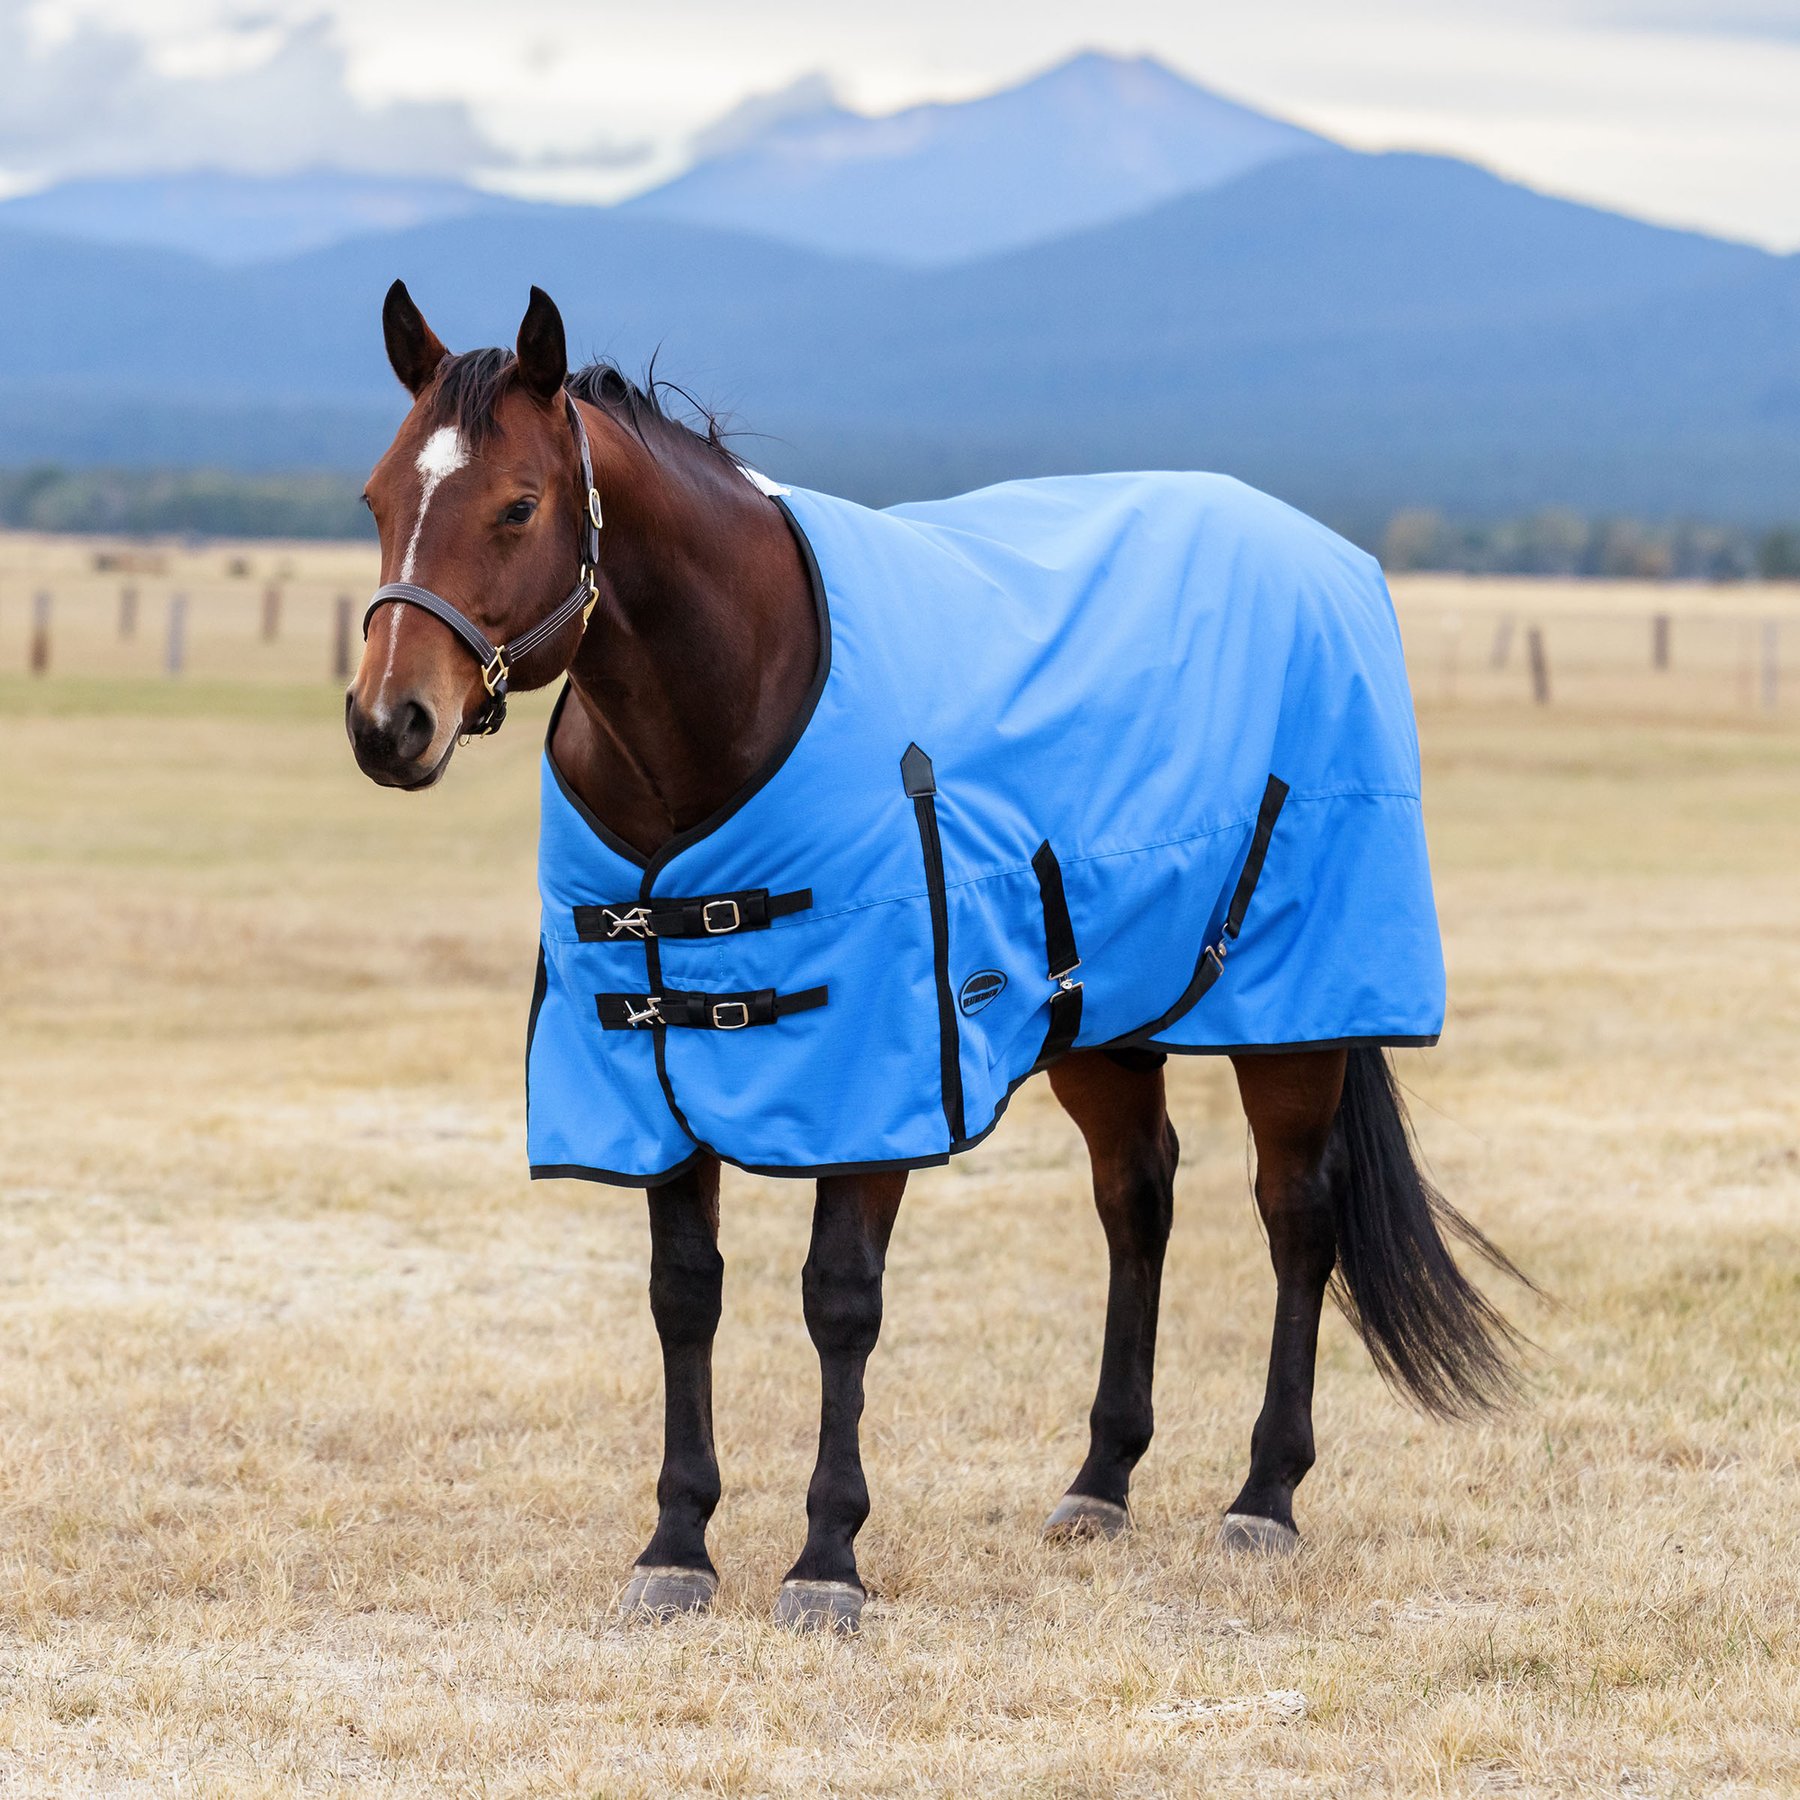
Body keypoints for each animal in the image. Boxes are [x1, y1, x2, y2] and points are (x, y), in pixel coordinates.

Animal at [346, 281, 1524, 1633]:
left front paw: (825, 1559)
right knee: (1140, 1199)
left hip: (1297, 1016)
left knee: (1297, 1218)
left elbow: (838, 1301)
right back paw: (1101, 1480)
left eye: (519, 505)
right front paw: (677, 1546)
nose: (388, 724)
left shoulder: (878, 1076)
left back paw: (1264, 1496)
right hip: (1099, 1022)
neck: (727, 705)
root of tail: (1324, 556)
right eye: (376, 499)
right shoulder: (652, 1070)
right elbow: (683, 1294)